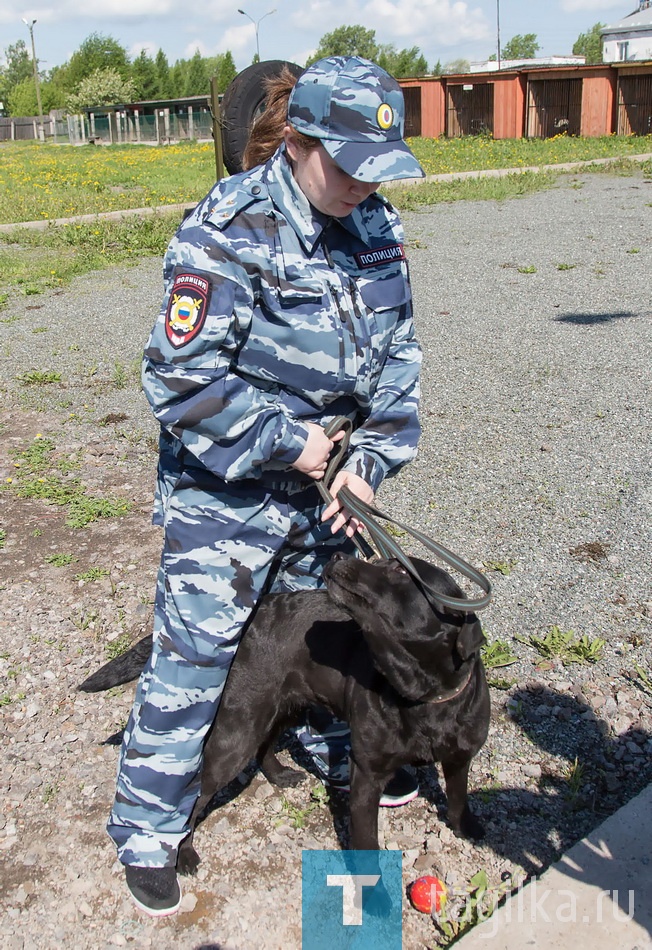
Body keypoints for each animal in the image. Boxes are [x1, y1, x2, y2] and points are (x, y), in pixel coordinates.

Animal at [80, 556, 488, 872]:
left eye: (402, 571)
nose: (339, 554)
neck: (421, 697)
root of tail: (249, 620)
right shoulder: (367, 777)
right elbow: (366, 839)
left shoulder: (459, 759)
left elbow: (458, 797)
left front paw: (467, 829)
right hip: (238, 731)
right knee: (196, 796)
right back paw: (184, 853)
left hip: (283, 708)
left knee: (264, 748)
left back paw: (278, 776)